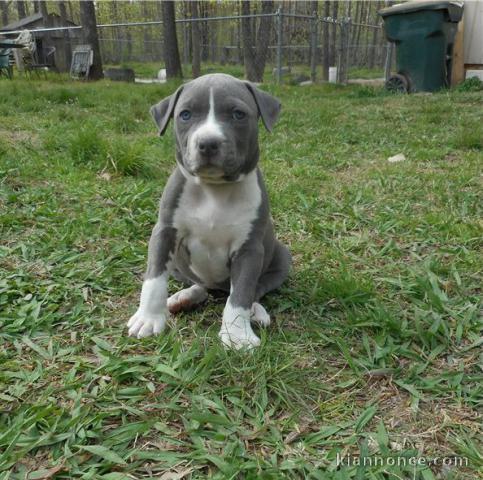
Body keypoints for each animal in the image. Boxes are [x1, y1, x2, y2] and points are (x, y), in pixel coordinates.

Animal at [127, 73, 292, 348]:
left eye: (238, 114)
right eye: (185, 114)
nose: (207, 143)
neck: (214, 189)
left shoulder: (249, 249)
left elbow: (241, 293)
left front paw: (236, 336)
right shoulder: (164, 232)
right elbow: (154, 279)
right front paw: (148, 318)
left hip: (281, 255)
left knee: (254, 289)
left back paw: (256, 311)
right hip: (179, 264)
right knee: (199, 284)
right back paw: (181, 298)